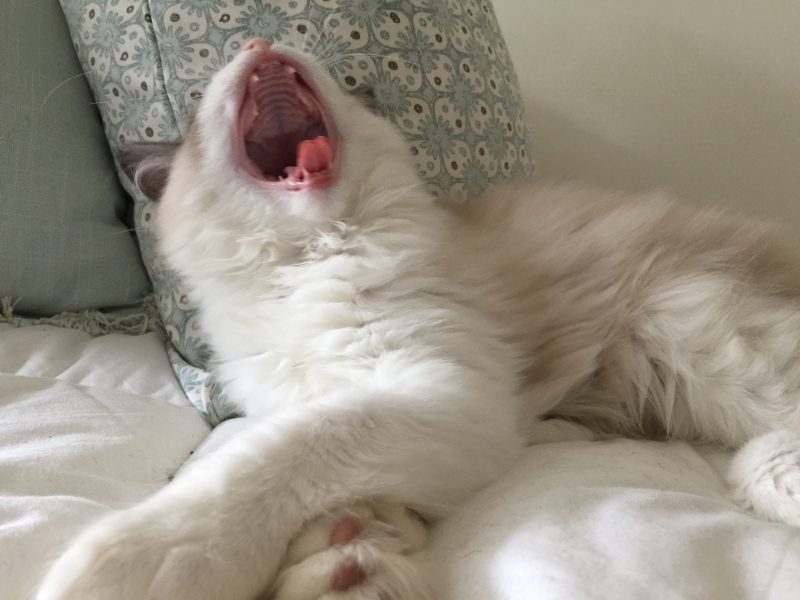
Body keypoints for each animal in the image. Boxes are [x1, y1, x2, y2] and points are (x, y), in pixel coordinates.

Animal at [36, 38, 800, 600]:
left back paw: (773, 478)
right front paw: (349, 563)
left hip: (693, 331)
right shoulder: (332, 399)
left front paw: (140, 559)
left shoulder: (436, 390)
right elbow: (338, 488)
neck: (305, 261)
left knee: (765, 439)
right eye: (200, 103)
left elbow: (272, 458)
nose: (258, 42)